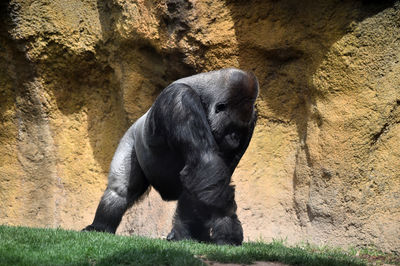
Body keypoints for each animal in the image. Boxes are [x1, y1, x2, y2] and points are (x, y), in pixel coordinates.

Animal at [84, 68, 260, 245]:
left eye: (241, 130)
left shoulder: (252, 118)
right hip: (131, 136)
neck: (204, 96)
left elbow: (206, 179)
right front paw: (227, 224)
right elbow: (206, 163)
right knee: (119, 189)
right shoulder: (180, 101)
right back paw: (101, 226)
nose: (235, 139)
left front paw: (185, 233)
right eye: (232, 127)